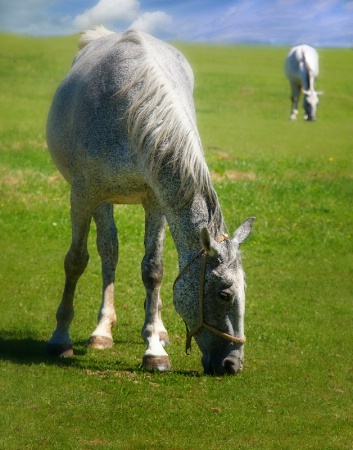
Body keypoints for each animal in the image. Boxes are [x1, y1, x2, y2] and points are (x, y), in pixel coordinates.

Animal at [46, 26, 253, 374]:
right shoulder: (84, 195)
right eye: (224, 294)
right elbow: (76, 261)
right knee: (108, 251)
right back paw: (101, 331)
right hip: (101, 201)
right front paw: (60, 338)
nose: (232, 364)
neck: (131, 112)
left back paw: (158, 328)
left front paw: (154, 348)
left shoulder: (157, 200)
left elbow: (153, 269)